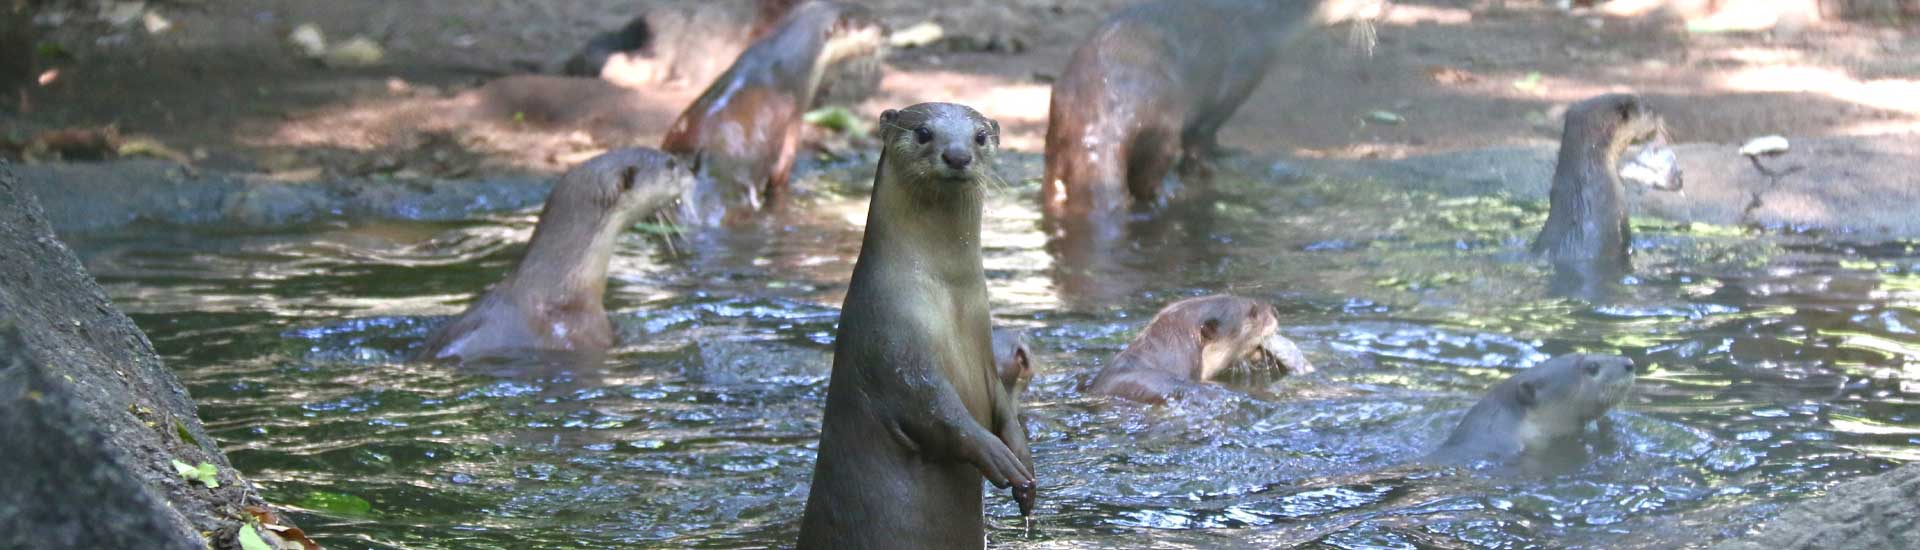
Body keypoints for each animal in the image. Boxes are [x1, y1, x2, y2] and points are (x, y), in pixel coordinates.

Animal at [661, 1, 884, 226]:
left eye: (872, 15)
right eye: (872, 23)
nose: (888, 29)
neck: (783, 60)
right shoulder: (795, 114)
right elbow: (781, 173)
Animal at [798, 103, 1034, 549]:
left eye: (980, 136)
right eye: (923, 132)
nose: (957, 155)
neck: (947, 299)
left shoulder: (983, 352)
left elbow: (1002, 407)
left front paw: (1025, 467)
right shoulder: (892, 347)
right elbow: (935, 412)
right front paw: (999, 457)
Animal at [1042, 0, 1381, 222]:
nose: (1384, 4)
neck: (1263, 23)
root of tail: (1101, 118)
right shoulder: (1236, 82)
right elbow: (1203, 138)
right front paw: (1216, 160)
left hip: (1057, 129)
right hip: (1160, 122)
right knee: (1151, 173)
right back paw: (1167, 194)